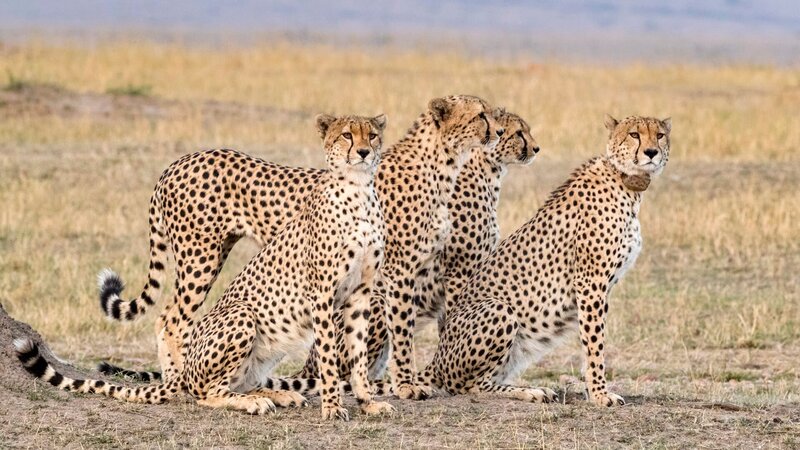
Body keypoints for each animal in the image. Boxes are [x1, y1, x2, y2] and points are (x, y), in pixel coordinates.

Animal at [16, 113, 393, 420]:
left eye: (372, 135)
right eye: (346, 135)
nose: (363, 152)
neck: (360, 192)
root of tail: (171, 167)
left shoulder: (360, 293)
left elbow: (358, 354)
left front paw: (368, 402)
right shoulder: (323, 294)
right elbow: (329, 354)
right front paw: (333, 407)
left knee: (235, 378)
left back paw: (273, 394)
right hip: (227, 293)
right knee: (197, 374)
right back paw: (231, 397)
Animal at [417, 115, 671, 406]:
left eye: (660, 135)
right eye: (634, 134)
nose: (651, 152)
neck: (625, 181)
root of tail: (436, 358)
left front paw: (594, 390)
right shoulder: (590, 282)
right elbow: (595, 342)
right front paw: (599, 394)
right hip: (499, 309)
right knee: (468, 386)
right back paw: (530, 391)